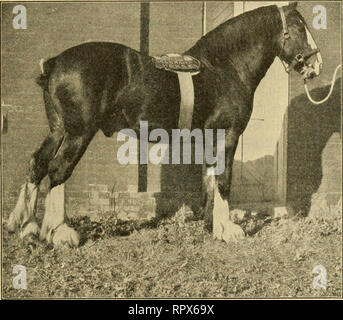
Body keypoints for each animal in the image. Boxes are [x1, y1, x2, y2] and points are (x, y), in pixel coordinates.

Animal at [8, 2, 326, 246]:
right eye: (299, 27)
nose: (317, 65)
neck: (225, 66)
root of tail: (54, 62)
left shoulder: (210, 137)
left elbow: (210, 179)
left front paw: (214, 226)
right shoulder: (229, 134)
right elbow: (224, 179)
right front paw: (229, 231)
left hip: (58, 130)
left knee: (38, 163)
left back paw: (26, 226)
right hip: (78, 133)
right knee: (58, 169)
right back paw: (58, 233)